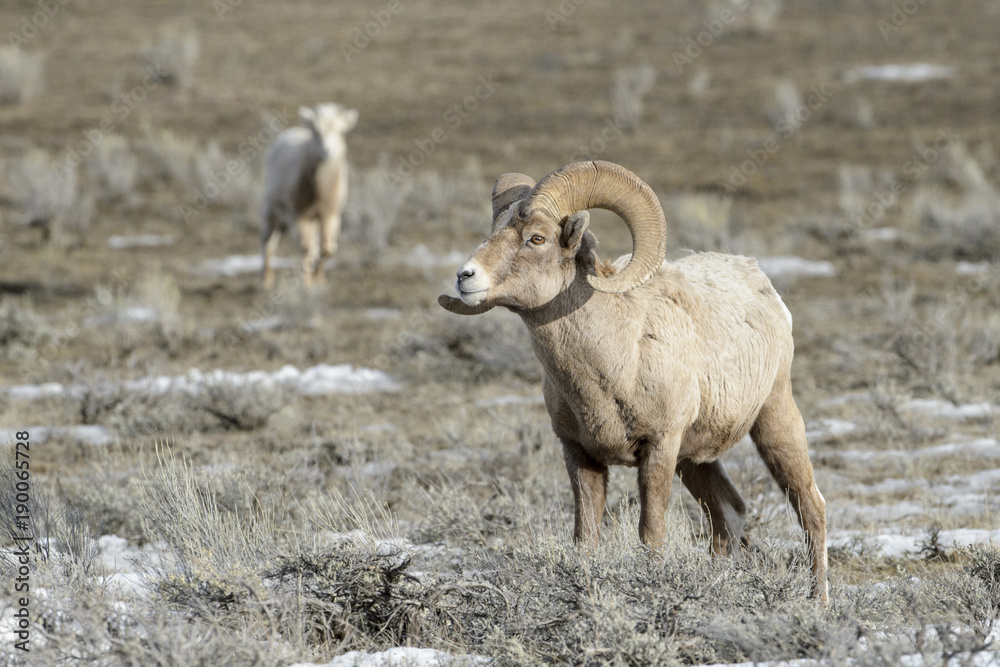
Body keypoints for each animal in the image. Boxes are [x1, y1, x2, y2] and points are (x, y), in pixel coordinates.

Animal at [260, 103, 358, 288]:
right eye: (316, 131)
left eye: (341, 131)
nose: (327, 151)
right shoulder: (299, 215)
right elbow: (306, 249)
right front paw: (307, 284)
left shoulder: (331, 215)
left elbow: (327, 248)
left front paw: (319, 280)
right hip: (270, 208)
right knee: (268, 241)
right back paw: (267, 280)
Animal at [438, 160, 829, 601]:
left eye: (536, 238)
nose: (465, 277)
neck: (614, 365)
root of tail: (763, 285)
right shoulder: (580, 456)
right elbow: (586, 539)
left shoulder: (658, 449)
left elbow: (651, 535)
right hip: (695, 461)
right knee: (728, 513)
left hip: (774, 421)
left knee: (811, 507)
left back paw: (818, 602)